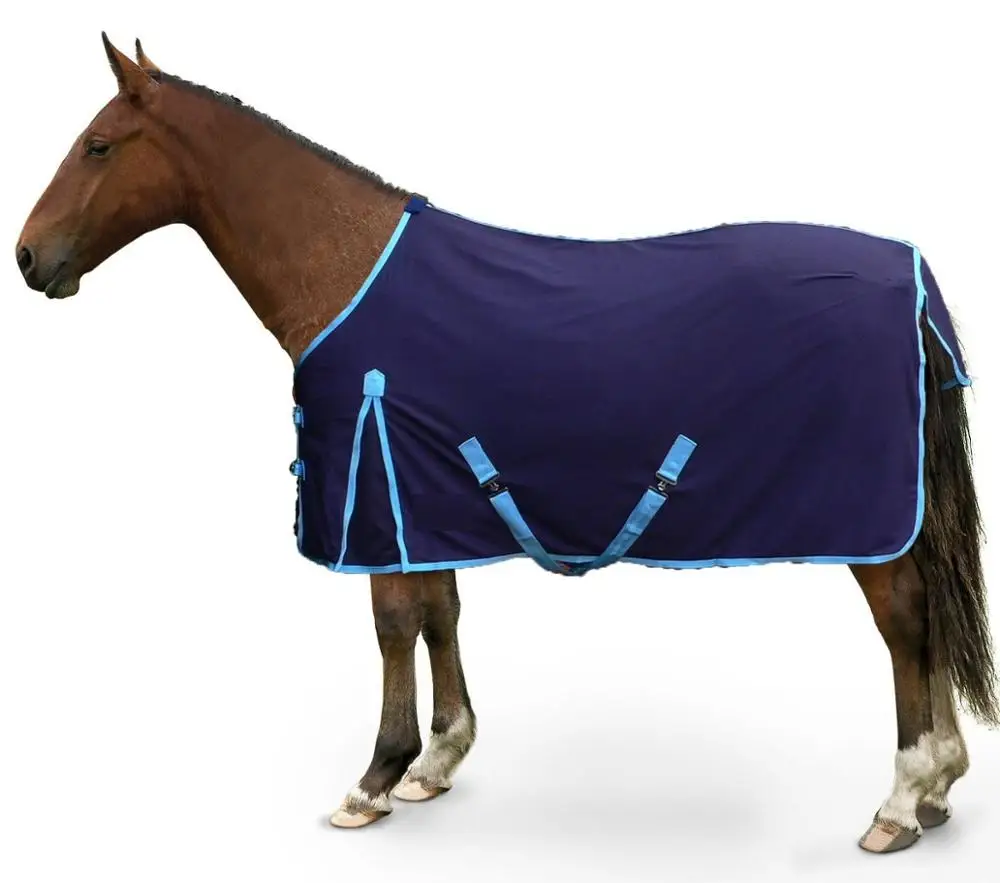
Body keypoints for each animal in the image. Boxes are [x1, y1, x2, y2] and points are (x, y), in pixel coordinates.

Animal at [15, 35, 997, 855]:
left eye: (98, 145)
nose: (28, 258)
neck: (344, 267)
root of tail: (910, 280)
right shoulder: (422, 493)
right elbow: (439, 612)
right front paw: (436, 762)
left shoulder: (378, 490)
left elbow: (393, 624)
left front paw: (375, 777)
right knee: (929, 615)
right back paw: (940, 784)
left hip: (871, 521)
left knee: (906, 619)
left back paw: (902, 798)